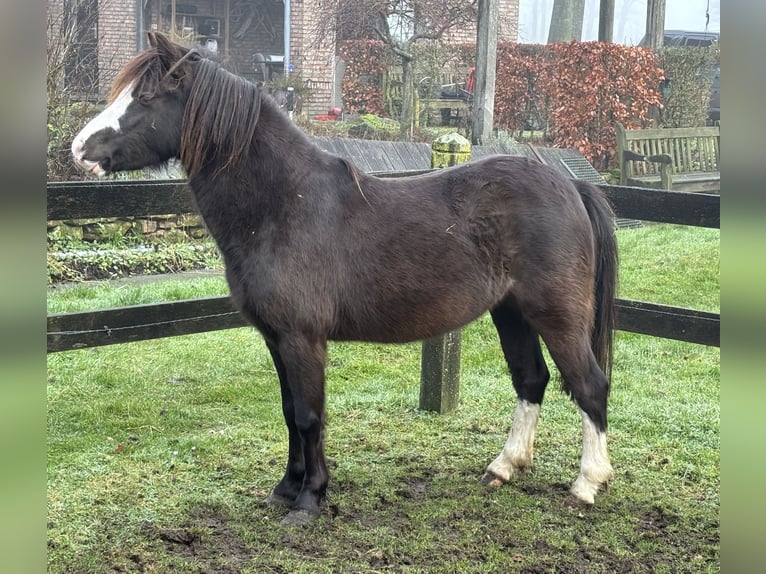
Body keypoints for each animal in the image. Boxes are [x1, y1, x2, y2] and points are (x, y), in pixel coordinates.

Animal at [72, 31, 620, 528]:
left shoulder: (302, 338)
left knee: (589, 385)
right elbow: (289, 411)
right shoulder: (276, 337)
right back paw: (504, 467)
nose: (78, 149)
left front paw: (309, 500)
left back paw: (587, 484)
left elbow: (310, 415)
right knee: (532, 380)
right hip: (511, 312)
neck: (283, 204)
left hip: (556, 315)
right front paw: (285, 489)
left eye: (145, 97)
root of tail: (570, 185)